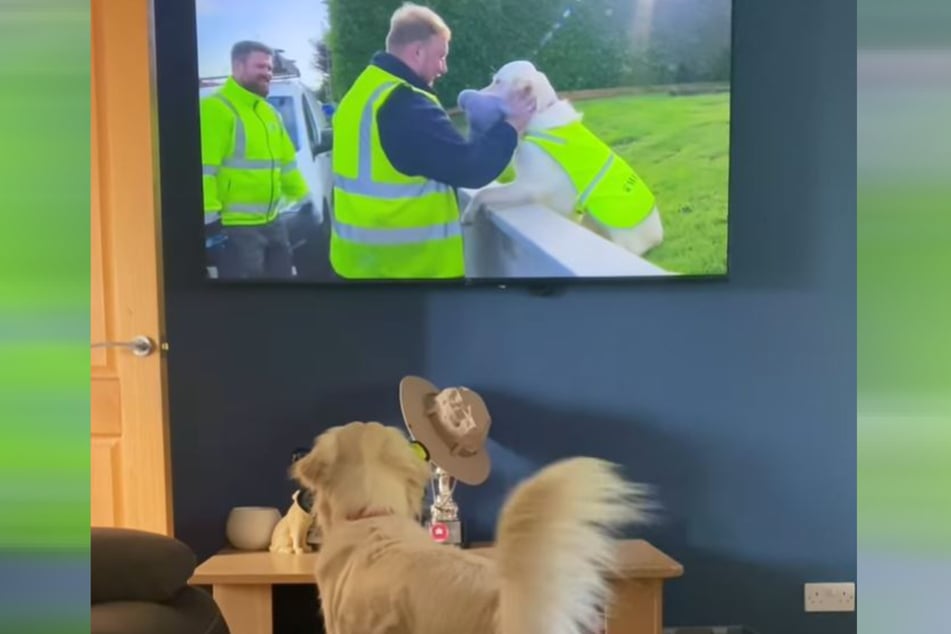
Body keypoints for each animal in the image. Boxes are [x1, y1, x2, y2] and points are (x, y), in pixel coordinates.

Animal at [460, 59, 660, 256]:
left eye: (497, 81)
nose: (464, 100)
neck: (539, 114)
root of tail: (658, 234)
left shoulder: (530, 186)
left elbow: (484, 192)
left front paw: (468, 213)